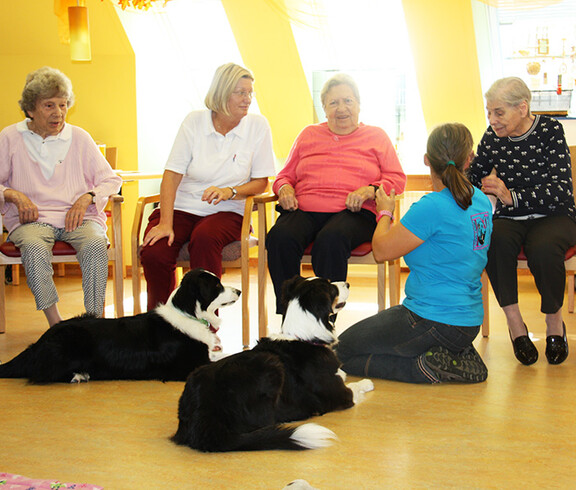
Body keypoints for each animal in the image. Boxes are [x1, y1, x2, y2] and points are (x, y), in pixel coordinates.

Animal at [0, 268, 241, 382]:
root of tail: (40, 341)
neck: (189, 314)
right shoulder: (188, 365)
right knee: (42, 374)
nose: (239, 290)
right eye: (217, 285)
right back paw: (79, 375)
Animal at [171, 274, 374, 454]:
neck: (304, 336)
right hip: (271, 365)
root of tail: (203, 423)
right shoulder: (340, 396)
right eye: (331, 287)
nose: (347, 283)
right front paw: (366, 382)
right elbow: (355, 386)